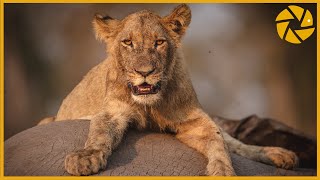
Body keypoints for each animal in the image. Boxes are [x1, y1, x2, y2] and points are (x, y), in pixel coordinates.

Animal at [40, 3, 298, 176]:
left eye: (159, 42)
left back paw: (281, 154)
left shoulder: (196, 120)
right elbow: (99, 134)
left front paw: (223, 171)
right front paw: (85, 158)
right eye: (128, 43)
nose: (145, 72)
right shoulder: (113, 111)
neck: (151, 106)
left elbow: (219, 143)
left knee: (234, 142)